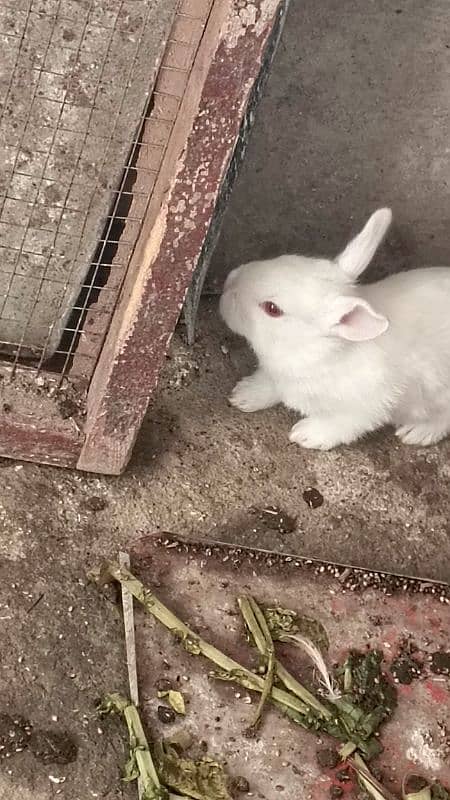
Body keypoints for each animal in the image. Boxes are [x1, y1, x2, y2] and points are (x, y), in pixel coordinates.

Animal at [221, 209, 450, 450]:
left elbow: (342, 425)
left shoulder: (367, 406)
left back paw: (418, 432)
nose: (229, 282)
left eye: (272, 309)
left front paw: (306, 434)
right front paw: (244, 395)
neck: (319, 352)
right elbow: (268, 385)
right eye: (285, 258)